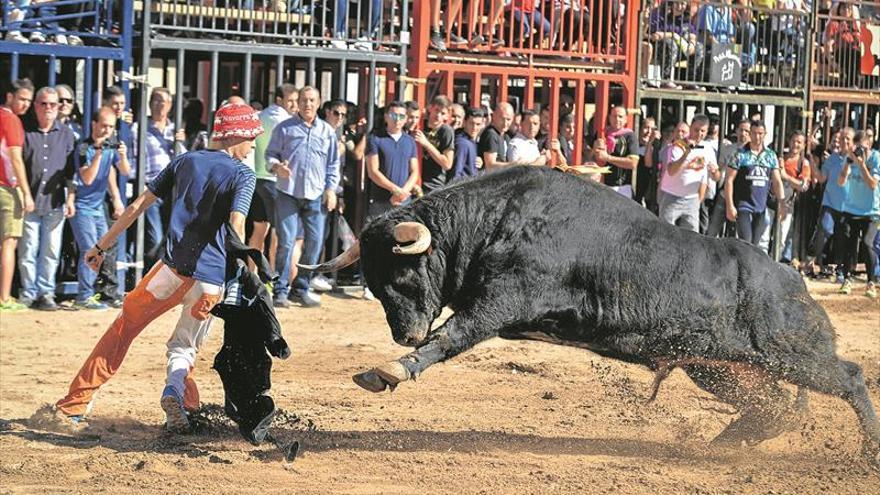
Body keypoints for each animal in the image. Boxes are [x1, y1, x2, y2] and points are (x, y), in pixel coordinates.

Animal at [304, 168, 880, 458]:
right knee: (777, 408)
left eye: (402, 277)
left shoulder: (500, 302)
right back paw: (721, 447)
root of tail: (792, 279)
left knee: (849, 379)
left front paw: (390, 370)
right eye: (374, 286)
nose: (404, 335)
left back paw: (867, 453)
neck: (495, 217)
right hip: (718, 367)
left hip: (792, 354)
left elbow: (450, 337)